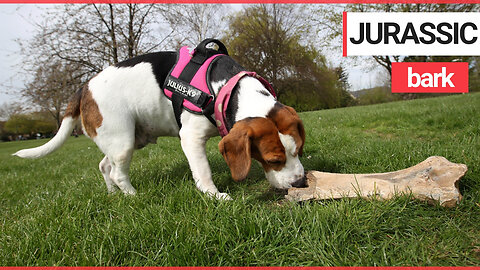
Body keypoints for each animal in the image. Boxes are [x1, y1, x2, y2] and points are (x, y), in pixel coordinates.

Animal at [15, 40, 308, 200]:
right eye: (273, 160)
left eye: (299, 150)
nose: (299, 183)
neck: (227, 88)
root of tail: (84, 88)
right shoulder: (190, 138)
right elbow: (203, 172)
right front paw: (214, 195)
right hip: (122, 142)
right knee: (118, 172)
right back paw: (132, 196)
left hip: (122, 139)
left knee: (104, 166)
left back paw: (112, 194)